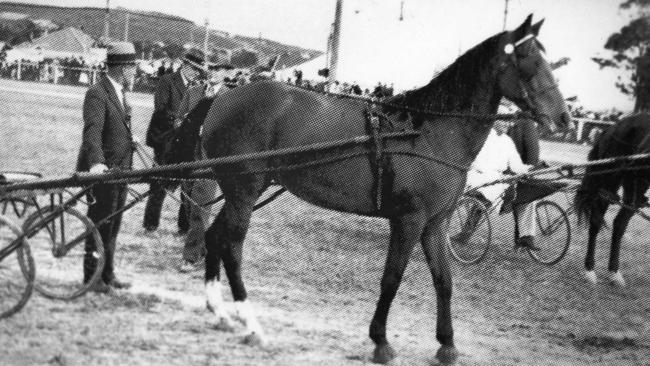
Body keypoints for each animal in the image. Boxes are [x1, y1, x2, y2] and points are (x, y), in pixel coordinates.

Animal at [194, 14, 568, 364]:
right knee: (232, 246)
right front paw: (381, 341)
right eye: (528, 59)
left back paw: (221, 312)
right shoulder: (408, 220)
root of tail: (223, 97)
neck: (427, 132)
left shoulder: (436, 223)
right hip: (243, 190)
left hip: (242, 191)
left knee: (214, 236)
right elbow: (392, 278)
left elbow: (444, 280)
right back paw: (250, 323)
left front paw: (447, 344)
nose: (563, 118)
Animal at [572, 113, 648, 288]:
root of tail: (612, 127)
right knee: (596, 221)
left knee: (619, 223)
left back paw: (614, 272)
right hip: (609, 180)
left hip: (635, 185)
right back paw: (590, 269)